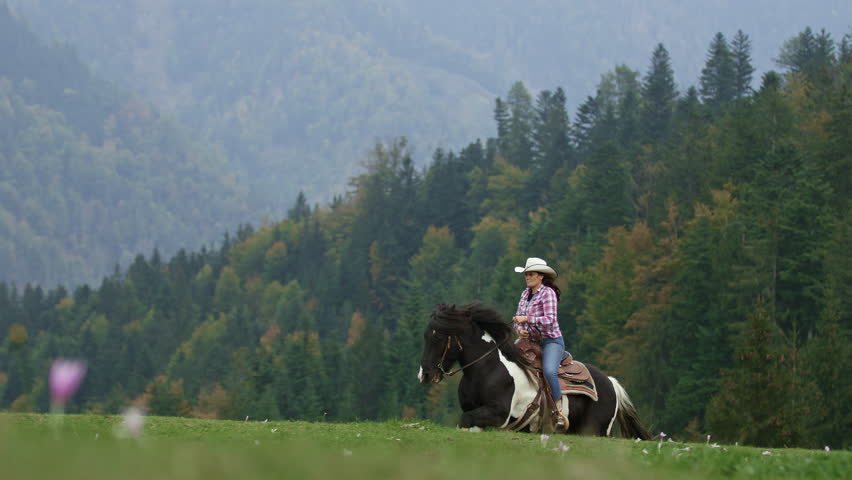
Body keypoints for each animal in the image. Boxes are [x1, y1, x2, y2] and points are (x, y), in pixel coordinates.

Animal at [418, 303, 651, 438]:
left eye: (439, 337)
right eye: (426, 336)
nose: (424, 375)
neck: (486, 369)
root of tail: (611, 382)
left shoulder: (499, 413)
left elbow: (465, 420)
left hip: (594, 430)